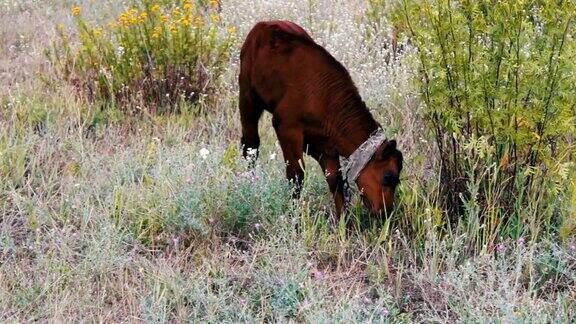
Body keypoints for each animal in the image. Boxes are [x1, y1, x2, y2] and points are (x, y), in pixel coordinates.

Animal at [238, 20, 404, 218]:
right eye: (388, 177)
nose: (386, 213)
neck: (324, 99)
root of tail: (265, 23)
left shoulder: (325, 143)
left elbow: (334, 179)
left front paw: (343, 220)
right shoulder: (286, 128)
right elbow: (296, 176)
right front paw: (293, 217)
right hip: (247, 97)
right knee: (250, 145)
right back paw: (249, 182)